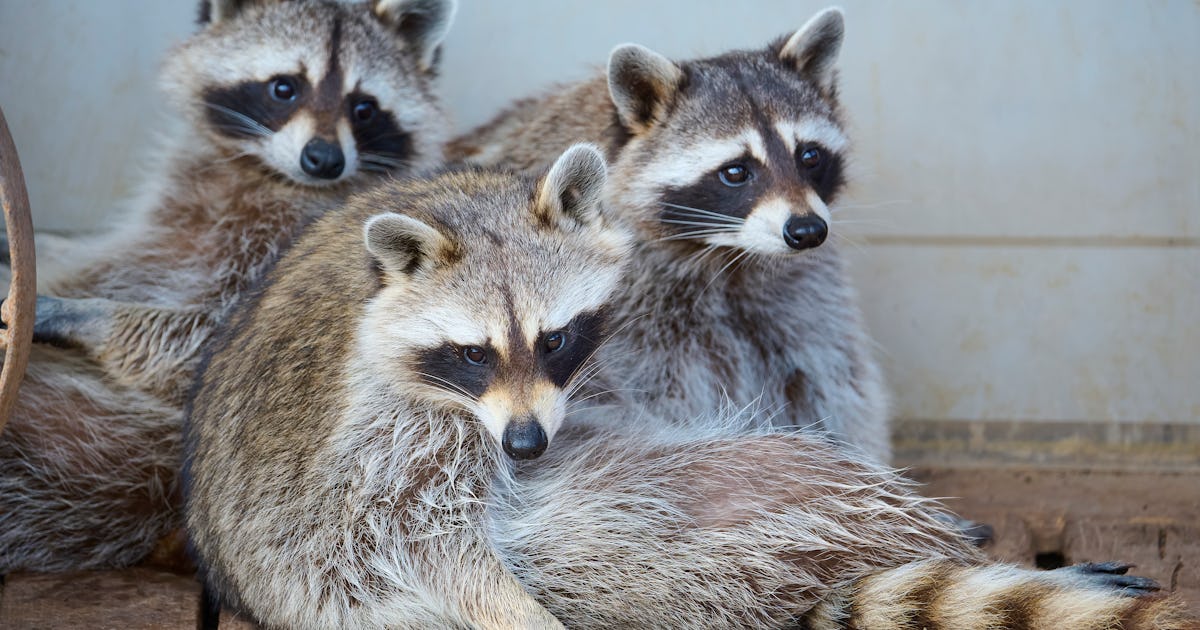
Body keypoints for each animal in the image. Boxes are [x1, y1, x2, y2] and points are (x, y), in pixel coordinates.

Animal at [0, 0, 456, 570]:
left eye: (364, 108)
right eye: (285, 87)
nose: (324, 159)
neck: (267, 175)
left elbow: (213, 351)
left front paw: (82, 314)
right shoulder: (165, 218)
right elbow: (97, 253)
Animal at [184, 145, 628, 628]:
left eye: (554, 341)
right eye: (475, 354)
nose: (525, 444)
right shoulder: (385, 430)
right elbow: (416, 535)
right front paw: (523, 612)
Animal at [448, 8, 892, 462]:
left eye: (810, 156)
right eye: (736, 171)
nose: (807, 231)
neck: (727, 253)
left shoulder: (800, 288)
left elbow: (830, 376)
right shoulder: (629, 312)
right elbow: (658, 396)